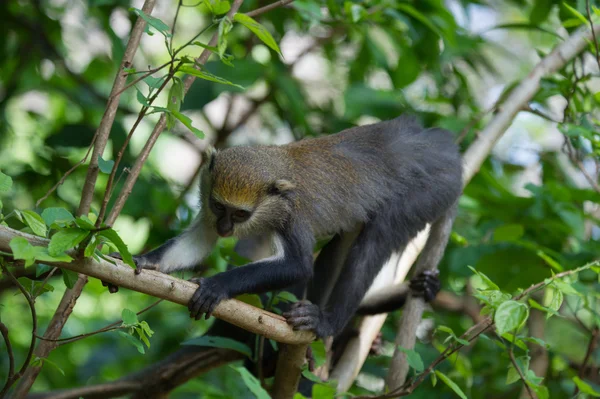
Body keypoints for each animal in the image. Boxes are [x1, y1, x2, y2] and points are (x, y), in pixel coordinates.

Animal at [112, 115, 462, 340]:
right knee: (342, 244)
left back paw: (326, 323)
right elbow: (199, 240)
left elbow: (298, 265)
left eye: (240, 215)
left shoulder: (293, 216)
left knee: (377, 239)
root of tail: (438, 143)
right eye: (219, 207)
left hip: (431, 189)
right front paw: (143, 261)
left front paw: (216, 286)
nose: (225, 227)